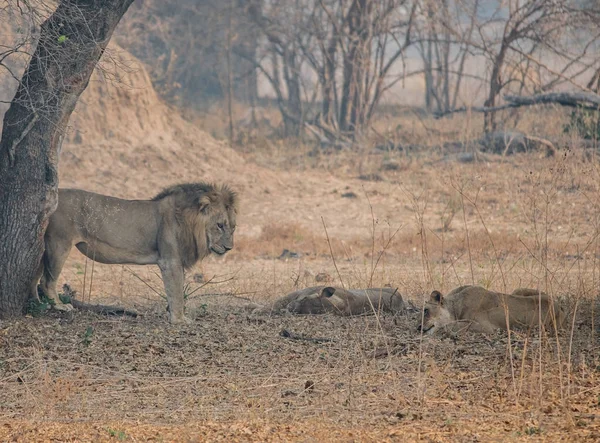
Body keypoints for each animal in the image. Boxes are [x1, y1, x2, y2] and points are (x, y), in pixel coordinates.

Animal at [33, 182, 237, 324]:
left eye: (233, 227)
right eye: (220, 225)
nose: (229, 248)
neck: (189, 223)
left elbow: (175, 291)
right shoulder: (170, 261)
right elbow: (177, 292)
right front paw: (179, 320)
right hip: (59, 244)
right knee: (46, 280)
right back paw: (60, 306)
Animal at [420, 286, 564, 334]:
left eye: (426, 310)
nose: (418, 327)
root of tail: (558, 305)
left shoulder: (486, 327)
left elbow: (449, 325)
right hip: (518, 290)